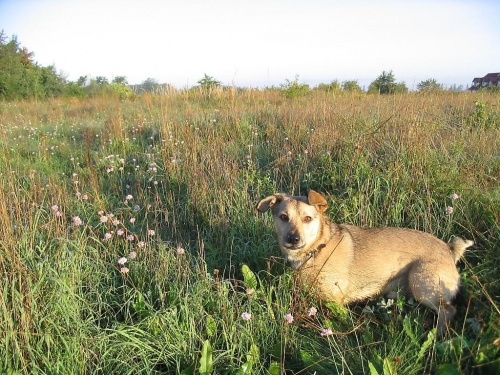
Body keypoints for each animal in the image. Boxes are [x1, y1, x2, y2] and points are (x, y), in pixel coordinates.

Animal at [256, 189, 474, 336]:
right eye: (283, 217)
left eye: (308, 218)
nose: (293, 239)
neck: (317, 248)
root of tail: (449, 249)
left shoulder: (336, 302)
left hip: (421, 283)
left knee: (448, 309)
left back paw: (436, 335)